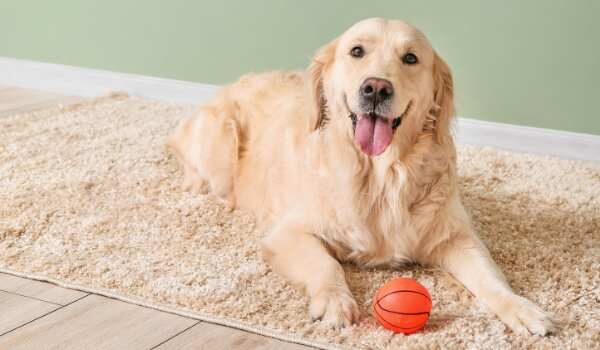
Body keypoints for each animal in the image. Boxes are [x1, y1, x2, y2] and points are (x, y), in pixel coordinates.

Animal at [168, 17, 552, 334]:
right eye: (356, 51)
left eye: (410, 58)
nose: (376, 88)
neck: (382, 175)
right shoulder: (287, 234)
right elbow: (325, 265)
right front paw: (335, 303)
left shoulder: (456, 237)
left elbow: (491, 277)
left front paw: (523, 309)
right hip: (220, 146)